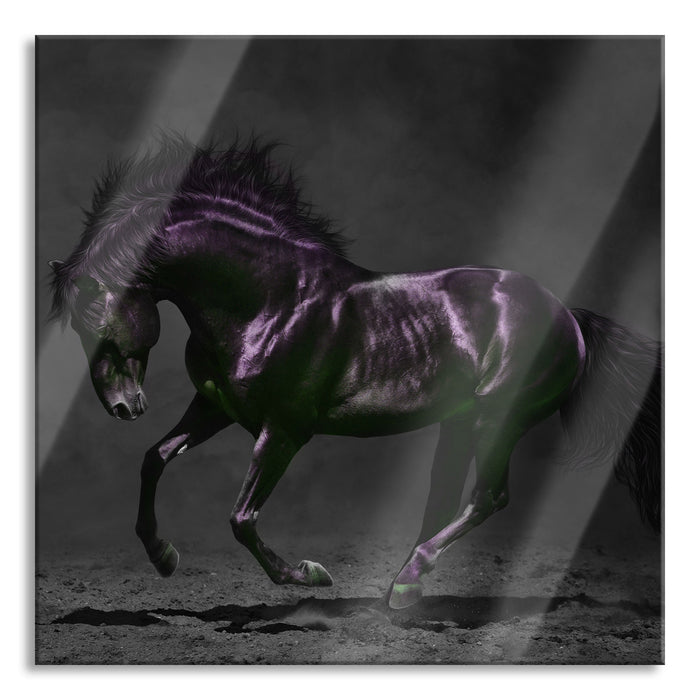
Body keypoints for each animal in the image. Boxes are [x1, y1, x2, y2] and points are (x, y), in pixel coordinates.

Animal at [48, 136, 662, 609]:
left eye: (96, 316)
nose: (122, 407)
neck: (269, 300)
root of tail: (567, 315)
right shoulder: (215, 407)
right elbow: (154, 459)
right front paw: (164, 556)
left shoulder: (284, 430)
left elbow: (241, 517)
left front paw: (308, 575)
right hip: (460, 422)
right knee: (447, 499)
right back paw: (401, 590)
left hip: (497, 419)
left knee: (488, 498)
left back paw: (406, 585)